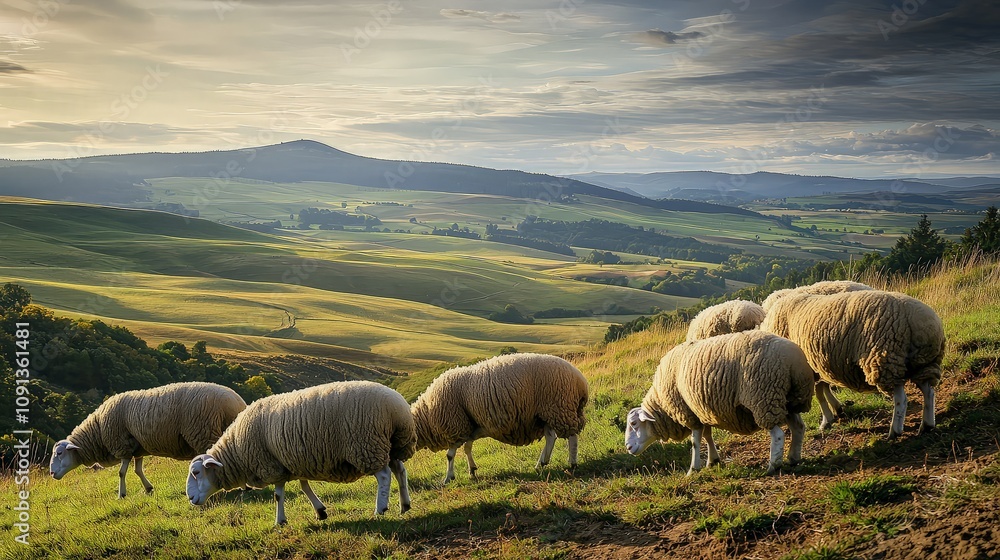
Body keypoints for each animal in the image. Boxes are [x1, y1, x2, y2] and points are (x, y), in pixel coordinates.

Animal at [49, 382, 246, 498]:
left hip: (204, 431)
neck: (97, 429)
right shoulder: (137, 449)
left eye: (59, 453)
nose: (51, 473)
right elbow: (138, 470)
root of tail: (234, 402)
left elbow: (121, 472)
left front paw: (121, 494)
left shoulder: (122, 445)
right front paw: (148, 488)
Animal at [186, 380, 416, 525]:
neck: (237, 450)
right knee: (400, 470)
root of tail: (398, 409)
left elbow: (278, 495)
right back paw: (404, 505)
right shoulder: (297, 461)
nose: (190, 498)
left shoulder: (272, 465)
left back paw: (380, 509)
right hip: (392, 445)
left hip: (366, 445)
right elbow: (305, 487)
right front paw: (320, 511)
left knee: (384, 475)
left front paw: (279, 521)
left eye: (196, 472)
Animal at [410, 353, 589, 484]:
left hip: (560, 407)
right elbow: (467, 448)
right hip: (546, 414)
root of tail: (581, 381)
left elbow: (450, 454)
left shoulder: (457, 426)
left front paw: (448, 477)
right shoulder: (471, 428)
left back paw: (571, 463)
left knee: (570, 436)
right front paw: (472, 470)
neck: (426, 413)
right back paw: (541, 463)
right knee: (551, 437)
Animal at [625, 330, 815, 475]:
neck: (662, 406)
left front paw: (693, 469)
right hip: (787, 401)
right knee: (798, 427)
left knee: (778, 434)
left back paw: (773, 466)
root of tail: (795, 361)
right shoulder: (701, 411)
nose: (628, 447)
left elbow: (695, 441)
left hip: (764, 398)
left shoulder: (689, 412)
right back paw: (793, 458)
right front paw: (713, 460)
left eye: (634, 423)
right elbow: (707, 435)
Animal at [760, 289, 945, 438]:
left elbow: (820, 394)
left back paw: (894, 431)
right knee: (929, 392)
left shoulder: (811, 369)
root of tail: (922, 323)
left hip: (886, 360)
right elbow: (822, 389)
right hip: (923, 364)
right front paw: (833, 414)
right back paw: (927, 425)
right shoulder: (819, 366)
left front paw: (826, 419)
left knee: (901, 399)